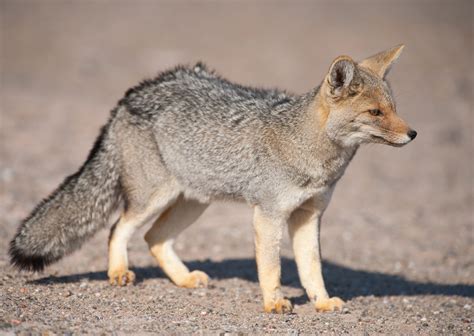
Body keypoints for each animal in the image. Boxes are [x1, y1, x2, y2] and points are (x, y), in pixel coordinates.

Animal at [8, 44, 414, 312]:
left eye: (394, 108)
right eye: (375, 113)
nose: (412, 134)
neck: (309, 149)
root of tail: (135, 92)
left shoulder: (309, 216)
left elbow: (312, 268)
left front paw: (322, 301)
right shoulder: (268, 215)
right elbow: (272, 267)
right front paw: (274, 302)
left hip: (193, 204)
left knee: (153, 238)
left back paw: (184, 279)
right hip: (153, 198)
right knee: (118, 228)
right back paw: (119, 271)